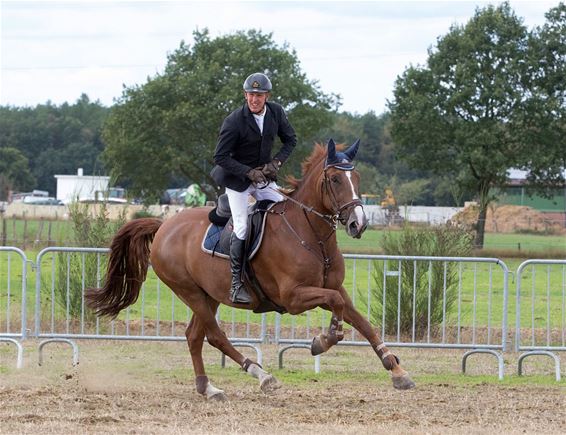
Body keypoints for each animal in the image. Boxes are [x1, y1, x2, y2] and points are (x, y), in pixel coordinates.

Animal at [87, 141, 418, 402]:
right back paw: (261, 375)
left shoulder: (335, 289)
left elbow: (364, 323)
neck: (311, 235)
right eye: (335, 179)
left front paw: (397, 370)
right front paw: (324, 339)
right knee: (215, 336)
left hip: (209, 295)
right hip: (189, 291)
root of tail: (164, 225)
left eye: (356, 177)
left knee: (195, 336)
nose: (358, 224)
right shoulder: (294, 298)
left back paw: (208, 389)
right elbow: (337, 309)